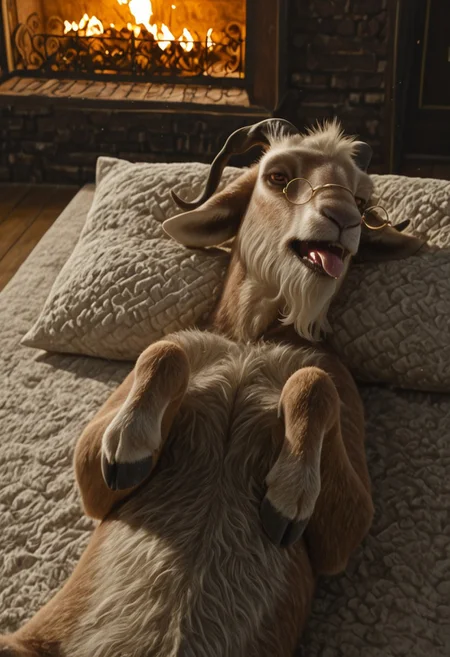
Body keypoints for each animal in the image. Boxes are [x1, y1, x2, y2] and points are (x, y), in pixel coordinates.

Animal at [0, 120, 423, 657]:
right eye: (278, 175)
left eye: (362, 197)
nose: (343, 219)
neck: (249, 339)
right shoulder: (96, 487)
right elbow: (164, 355)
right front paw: (130, 443)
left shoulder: (342, 518)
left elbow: (312, 382)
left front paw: (289, 493)